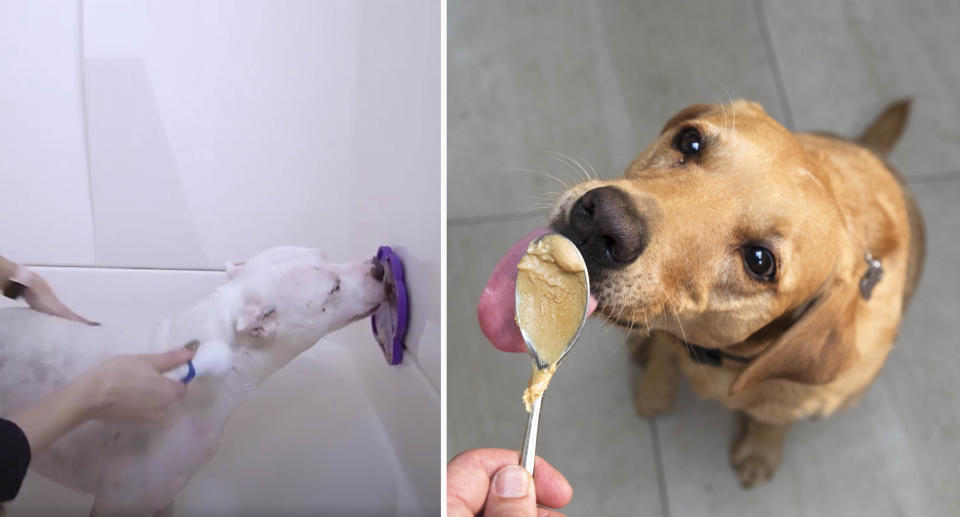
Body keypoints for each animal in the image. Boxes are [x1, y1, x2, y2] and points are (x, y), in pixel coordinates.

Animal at [552, 99, 928, 486]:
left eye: (760, 261)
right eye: (690, 141)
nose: (602, 222)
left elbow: (774, 420)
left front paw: (760, 450)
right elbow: (663, 357)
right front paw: (654, 389)